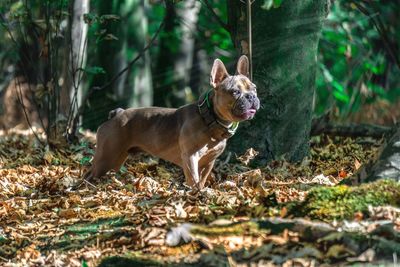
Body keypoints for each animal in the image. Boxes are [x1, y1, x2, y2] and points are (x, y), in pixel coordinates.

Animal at [83, 56, 260, 191]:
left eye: (254, 89)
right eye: (235, 92)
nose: (251, 96)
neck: (209, 119)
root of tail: (117, 114)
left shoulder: (209, 162)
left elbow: (201, 180)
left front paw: (201, 191)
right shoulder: (190, 157)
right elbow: (193, 179)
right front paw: (195, 194)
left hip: (116, 159)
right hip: (106, 156)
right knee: (88, 174)